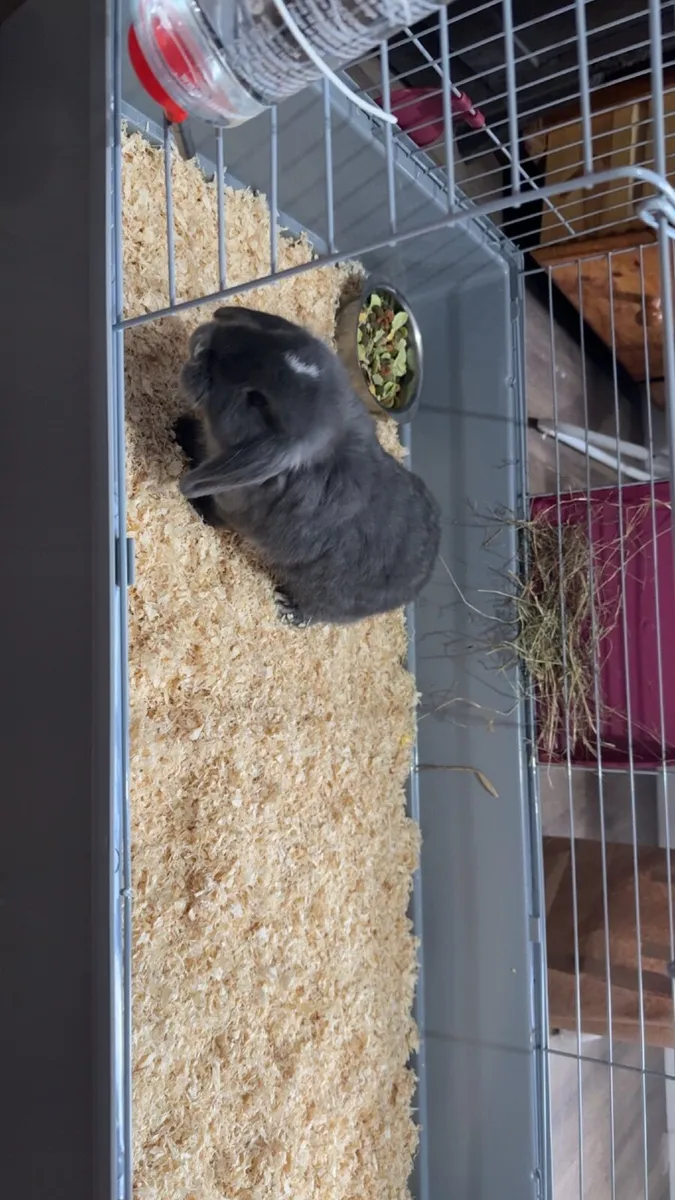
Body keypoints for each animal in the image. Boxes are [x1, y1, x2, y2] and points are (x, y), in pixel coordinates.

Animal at [173, 305, 440, 626]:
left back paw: (289, 609)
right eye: (275, 338)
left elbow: (212, 513)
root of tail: (423, 578)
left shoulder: (229, 511)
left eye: (258, 400)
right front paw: (180, 430)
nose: (202, 341)